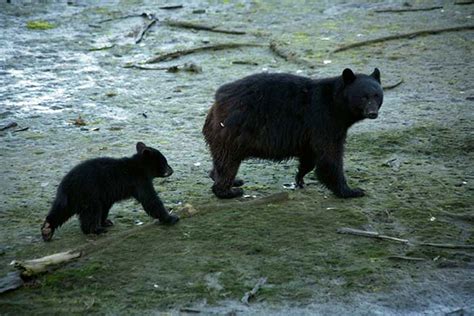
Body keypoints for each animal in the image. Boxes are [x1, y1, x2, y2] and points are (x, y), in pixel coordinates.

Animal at [39, 142, 178, 241]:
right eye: (165, 162)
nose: (172, 170)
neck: (140, 166)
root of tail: (67, 183)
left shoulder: (107, 194)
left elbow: (106, 206)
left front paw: (106, 221)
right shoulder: (139, 181)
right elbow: (150, 200)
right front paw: (171, 217)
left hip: (71, 197)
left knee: (61, 210)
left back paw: (47, 229)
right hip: (89, 193)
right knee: (92, 211)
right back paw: (95, 230)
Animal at [202, 68, 384, 199]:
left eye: (377, 95)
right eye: (363, 97)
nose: (372, 113)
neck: (336, 103)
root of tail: (217, 102)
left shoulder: (310, 132)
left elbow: (310, 156)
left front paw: (300, 177)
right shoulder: (323, 120)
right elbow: (329, 157)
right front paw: (351, 191)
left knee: (221, 160)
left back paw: (227, 179)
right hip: (234, 131)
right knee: (228, 162)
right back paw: (228, 191)